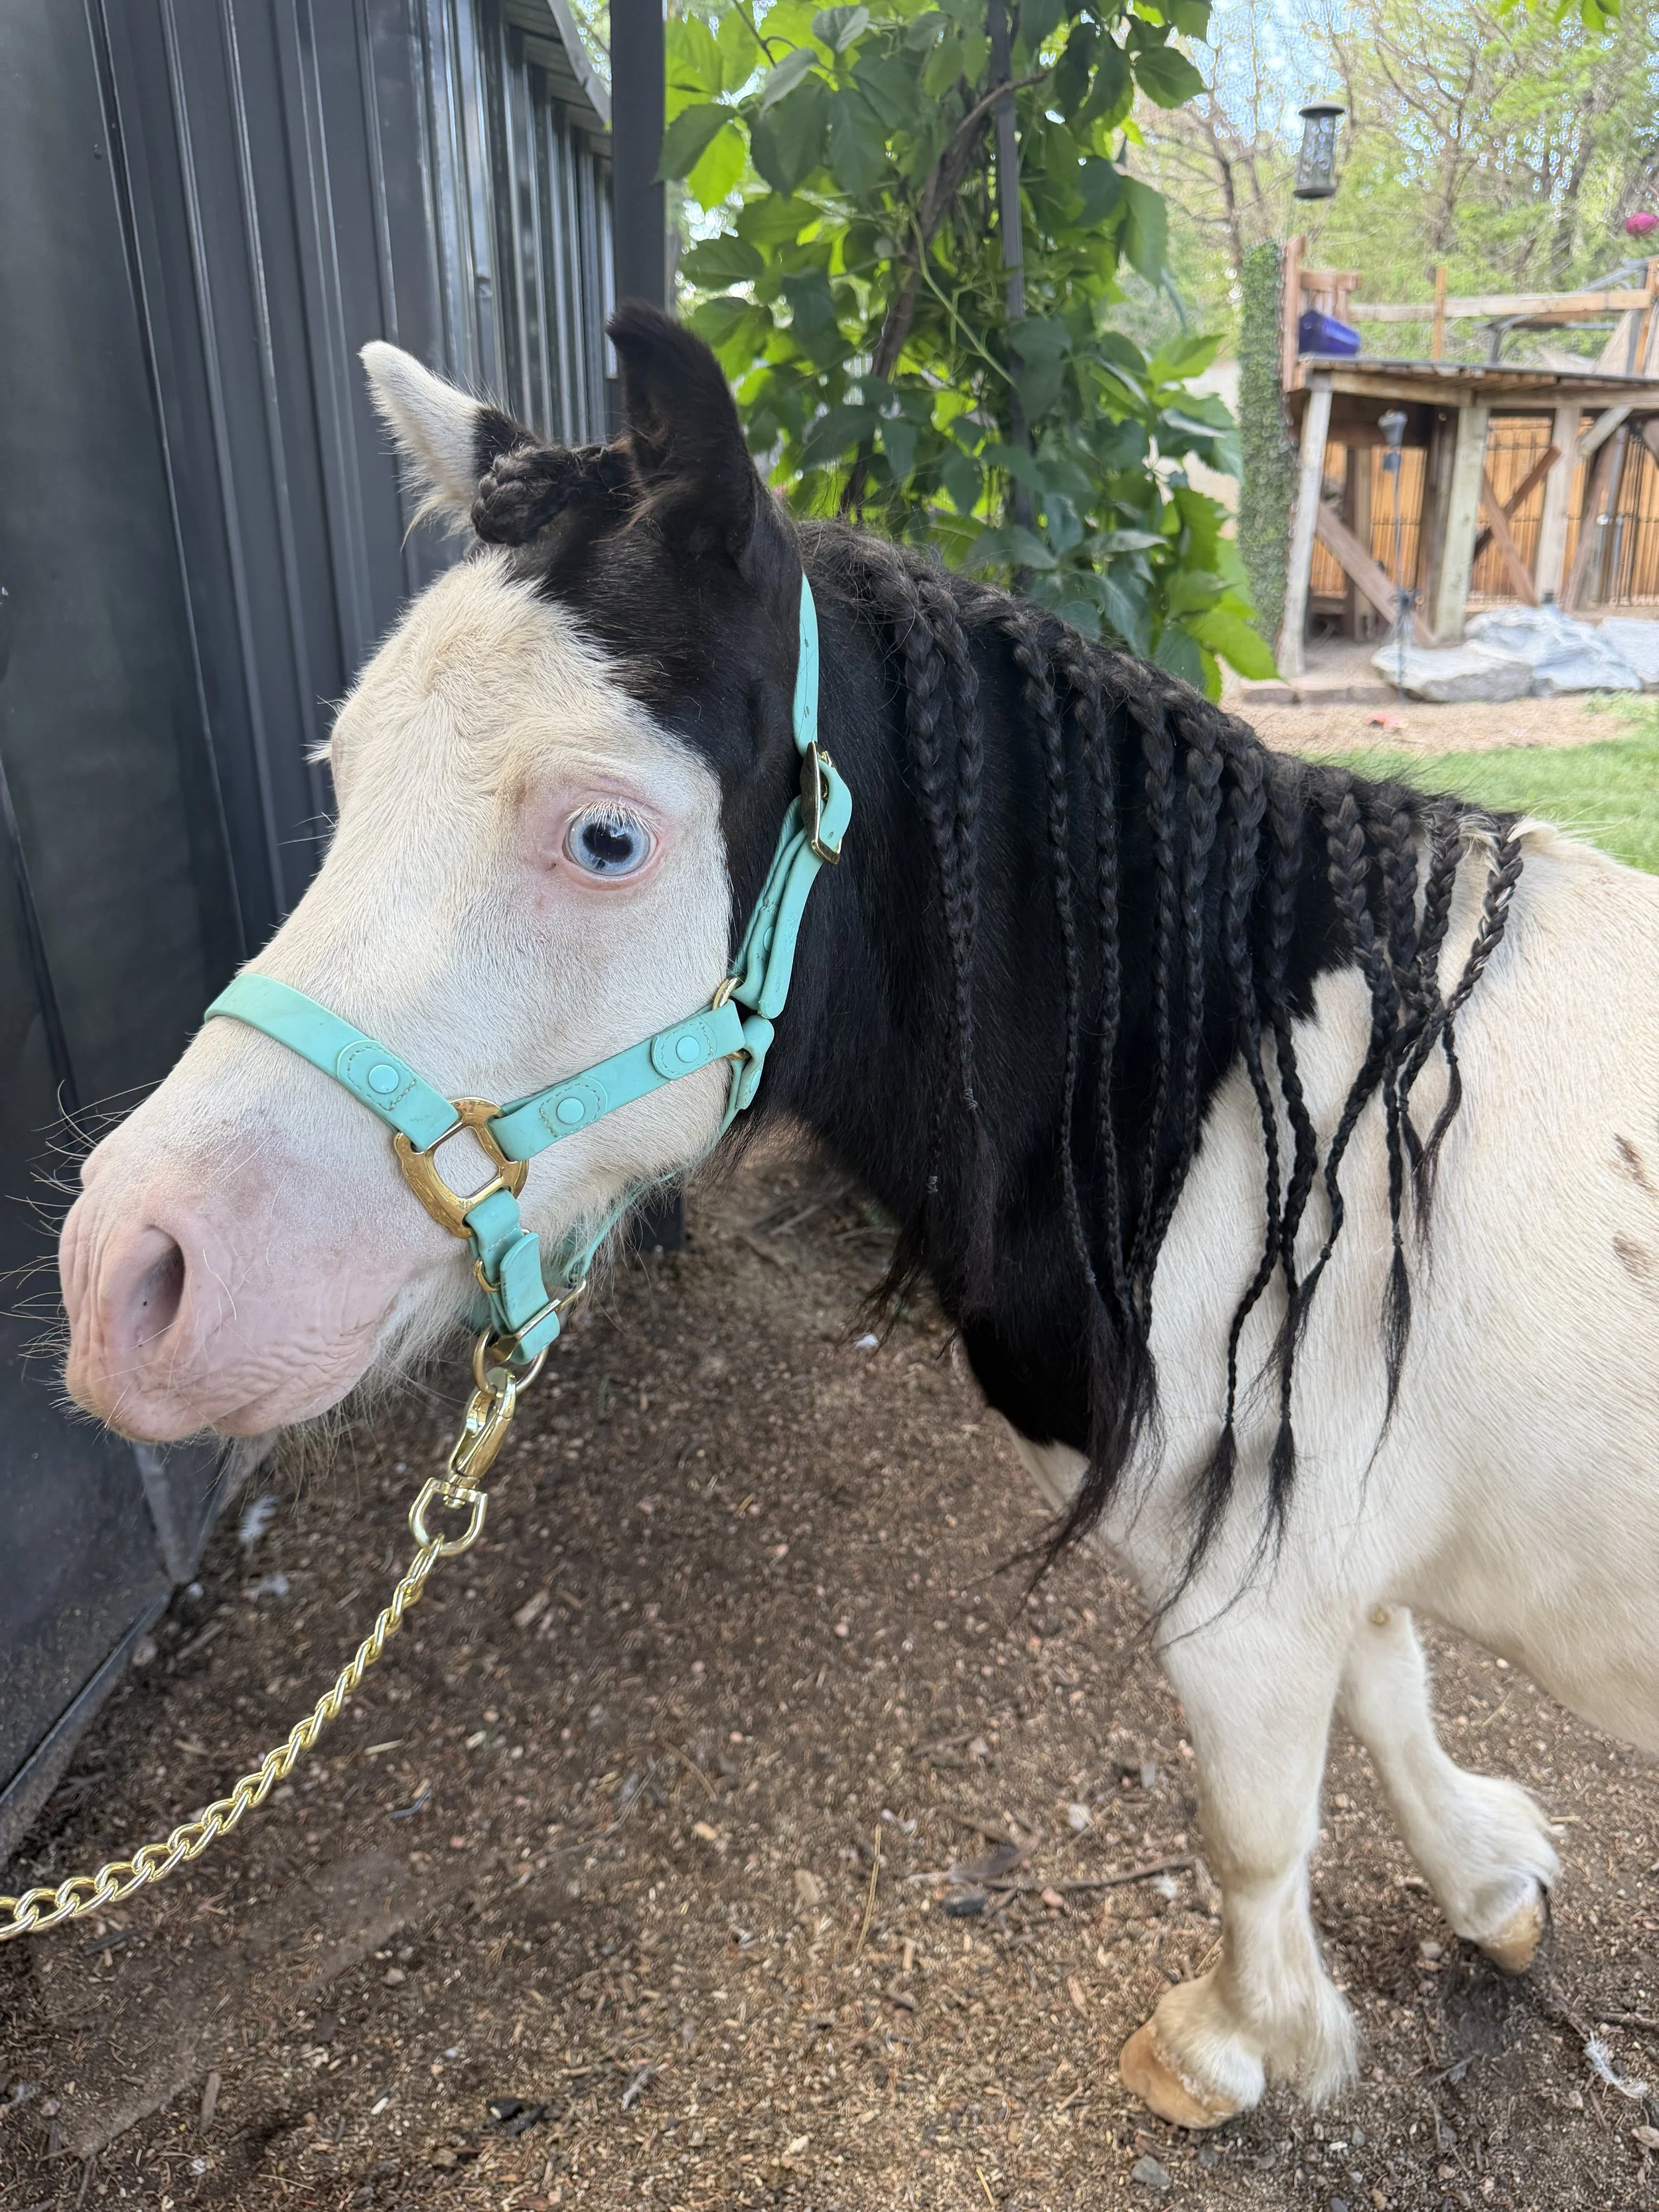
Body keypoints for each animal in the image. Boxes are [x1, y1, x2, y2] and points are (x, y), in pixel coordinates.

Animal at [58, 304, 1659, 2129]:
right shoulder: (1317, 1541)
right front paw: (1486, 1882)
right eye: (344, 774)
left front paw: (1237, 2041)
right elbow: (1392, 1688)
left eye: (605, 836)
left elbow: (1254, 1827)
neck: (1230, 1105)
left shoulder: (1240, 1593)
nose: (129, 1277)